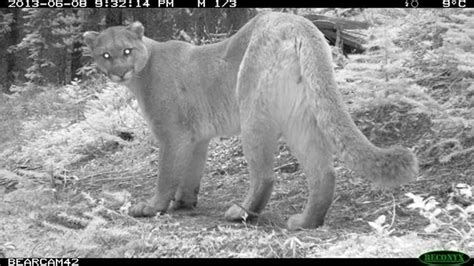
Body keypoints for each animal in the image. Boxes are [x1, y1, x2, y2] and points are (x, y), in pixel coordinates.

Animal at [83, 11, 416, 229]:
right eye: (105, 55)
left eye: (126, 51)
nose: (119, 73)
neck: (145, 68)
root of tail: (298, 22)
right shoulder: (197, 137)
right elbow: (191, 172)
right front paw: (184, 202)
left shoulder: (173, 135)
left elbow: (166, 174)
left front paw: (153, 207)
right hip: (300, 116)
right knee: (323, 172)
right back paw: (306, 221)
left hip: (251, 107)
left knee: (265, 174)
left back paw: (240, 213)